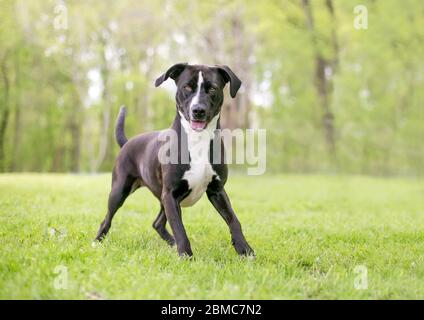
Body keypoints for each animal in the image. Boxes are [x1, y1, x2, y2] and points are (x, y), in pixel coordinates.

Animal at [95, 63, 255, 258]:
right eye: (187, 87)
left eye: (212, 89)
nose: (198, 110)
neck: (197, 139)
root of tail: (127, 142)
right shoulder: (171, 195)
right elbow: (179, 228)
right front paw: (186, 255)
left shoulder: (217, 190)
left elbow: (234, 220)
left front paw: (245, 249)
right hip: (120, 191)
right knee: (106, 219)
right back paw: (96, 242)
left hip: (161, 198)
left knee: (157, 223)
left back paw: (171, 244)